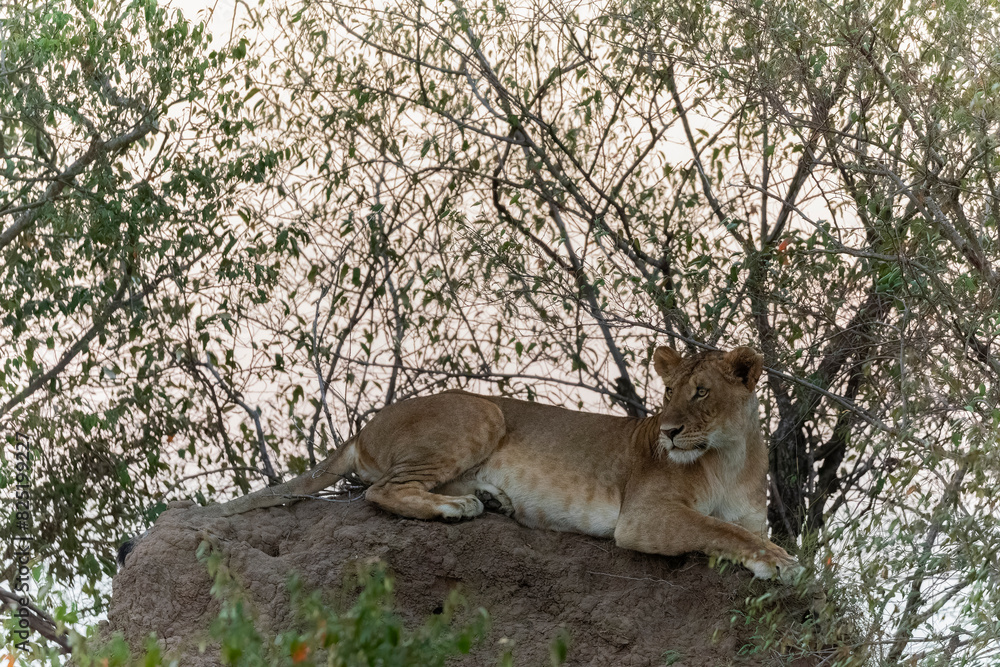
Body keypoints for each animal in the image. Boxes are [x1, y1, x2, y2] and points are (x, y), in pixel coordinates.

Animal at [198, 345, 797, 579]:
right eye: (669, 391)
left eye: (701, 393)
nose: (669, 431)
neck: (729, 457)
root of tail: (364, 426)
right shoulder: (642, 517)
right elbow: (716, 529)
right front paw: (782, 563)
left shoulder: (745, 513)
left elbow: (734, 529)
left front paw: (774, 558)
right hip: (482, 411)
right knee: (379, 491)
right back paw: (459, 508)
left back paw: (488, 498)